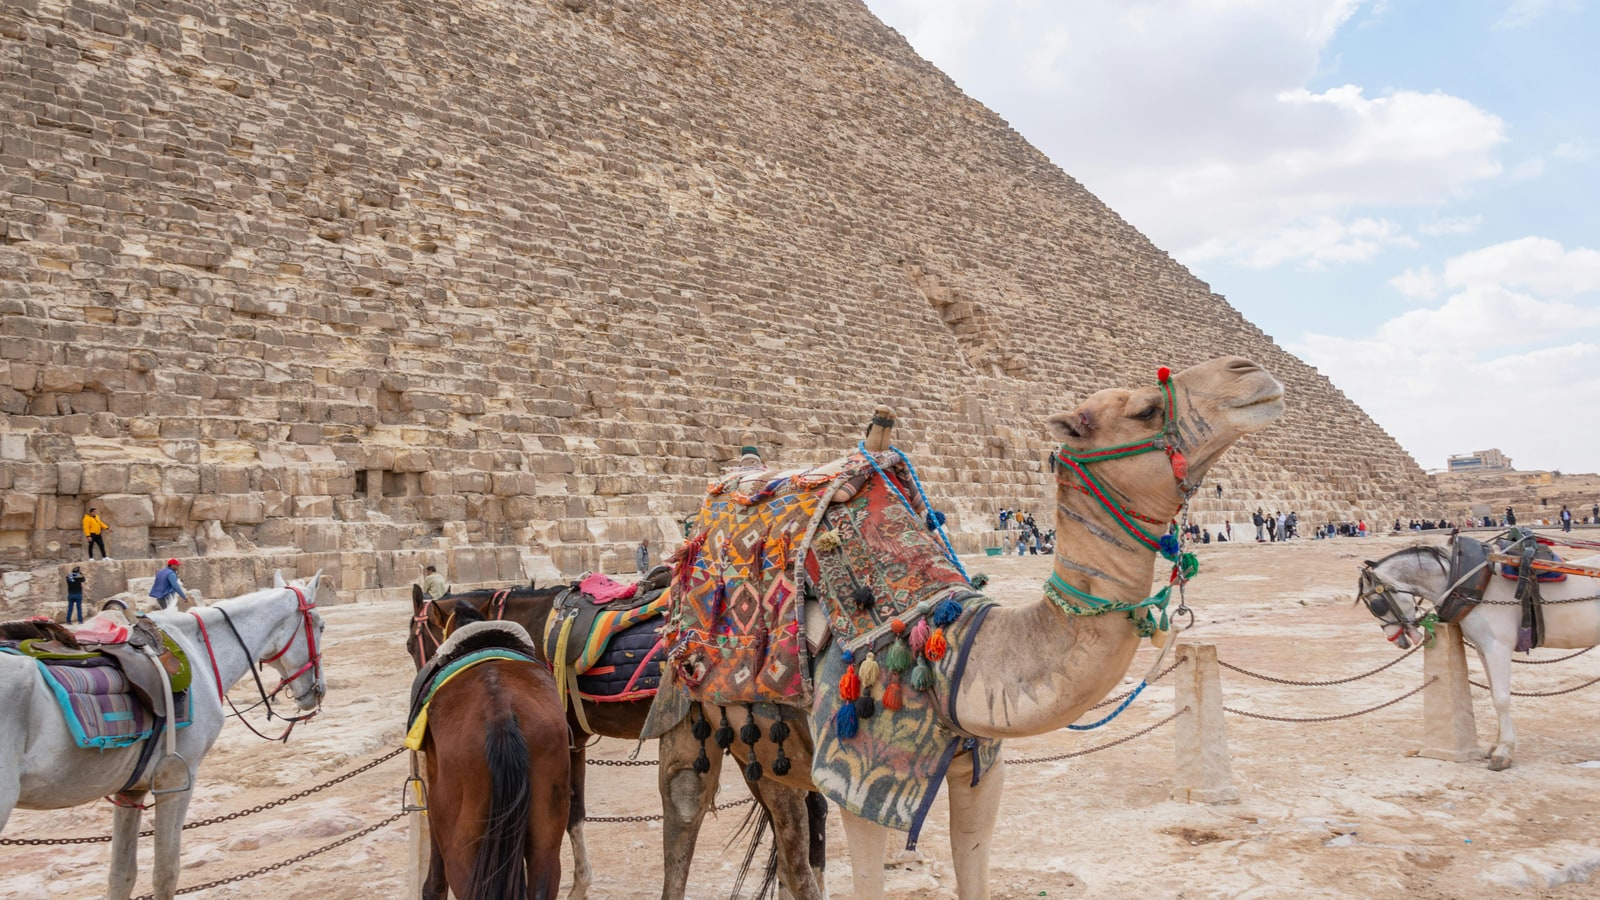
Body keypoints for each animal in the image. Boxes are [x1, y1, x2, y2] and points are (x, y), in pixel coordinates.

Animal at [0, 572, 326, 900]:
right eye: (321, 625)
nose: (319, 689)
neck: (199, 652)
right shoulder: (176, 779)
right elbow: (166, 872)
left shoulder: (130, 790)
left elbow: (121, 876)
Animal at [653, 355, 1284, 899]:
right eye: (1147, 409)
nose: (1250, 371)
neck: (952, 650)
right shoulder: (859, 784)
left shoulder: (983, 774)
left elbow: (973, 874)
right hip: (691, 715)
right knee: (685, 817)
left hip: (773, 753)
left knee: (792, 856)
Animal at [1359, 541, 1600, 770]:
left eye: (1376, 606)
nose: (1395, 640)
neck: (1468, 580)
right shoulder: (1483, 648)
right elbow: (1494, 693)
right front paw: (1497, 744)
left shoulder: (1498, 646)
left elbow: (1501, 698)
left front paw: (1503, 752)